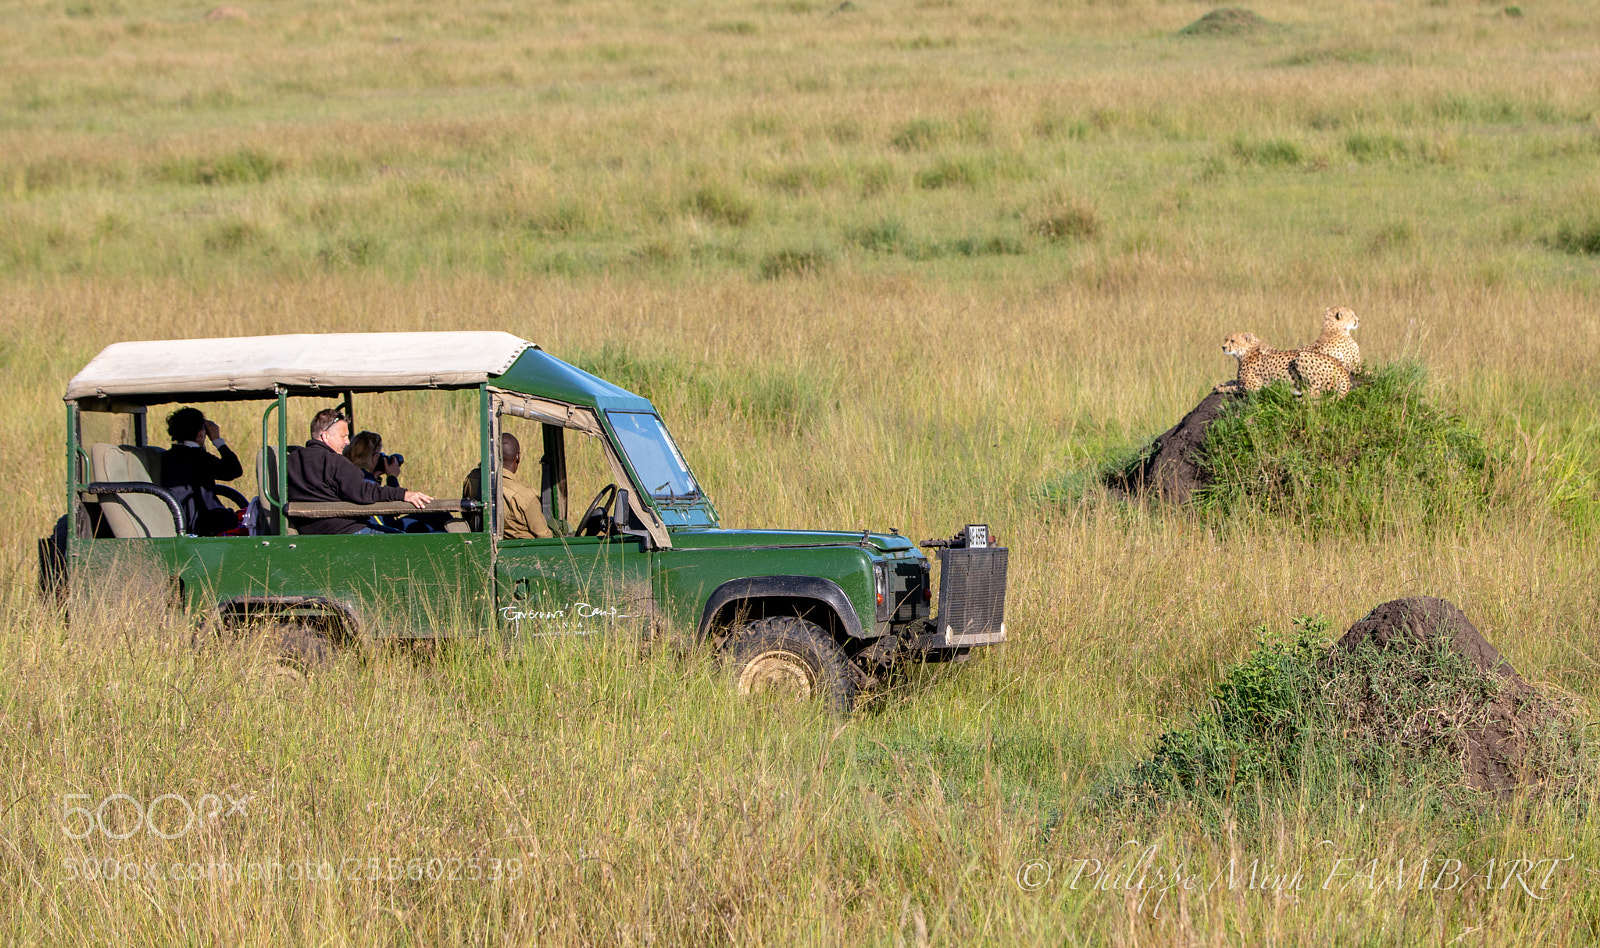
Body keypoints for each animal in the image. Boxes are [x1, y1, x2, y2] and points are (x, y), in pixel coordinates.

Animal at [1215, 332, 1350, 398]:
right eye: (1225, 339)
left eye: (1232, 341)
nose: (1223, 347)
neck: (1247, 351)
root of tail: (1341, 367)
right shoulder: (1244, 380)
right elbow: (1234, 381)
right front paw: (1220, 385)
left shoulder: (1254, 386)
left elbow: (1236, 387)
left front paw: (1221, 388)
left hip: (1302, 356)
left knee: (1319, 391)